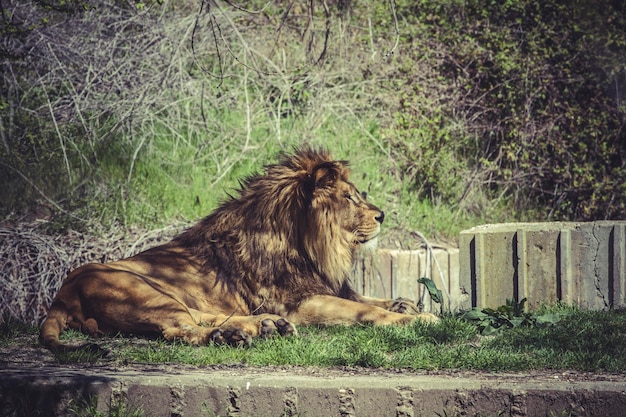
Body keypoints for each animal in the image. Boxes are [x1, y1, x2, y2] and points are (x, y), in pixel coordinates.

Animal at [41, 147, 436, 352]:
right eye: (350, 197)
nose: (382, 215)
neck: (305, 247)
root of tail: (61, 294)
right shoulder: (301, 304)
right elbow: (364, 311)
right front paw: (419, 318)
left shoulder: (323, 287)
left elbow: (367, 298)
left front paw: (405, 304)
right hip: (146, 292)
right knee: (179, 329)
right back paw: (238, 334)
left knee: (200, 316)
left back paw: (261, 327)